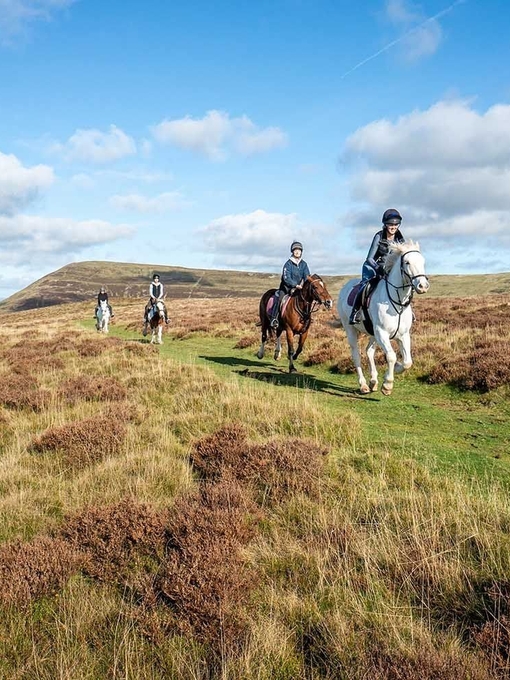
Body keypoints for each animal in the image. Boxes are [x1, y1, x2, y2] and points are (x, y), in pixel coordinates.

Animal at [337, 240, 429, 396]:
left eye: (423, 261)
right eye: (407, 262)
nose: (423, 286)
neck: (396, 302)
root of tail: (346, 287)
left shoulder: (403, 335)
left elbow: (407, 362)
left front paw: (397, 367)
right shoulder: (382, 333)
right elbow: (391, 356)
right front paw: (387, 385)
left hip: (373, 333)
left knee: (369, 351)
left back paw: (373, 381)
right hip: (351, 329)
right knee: (356, 354)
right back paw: (363, 385)